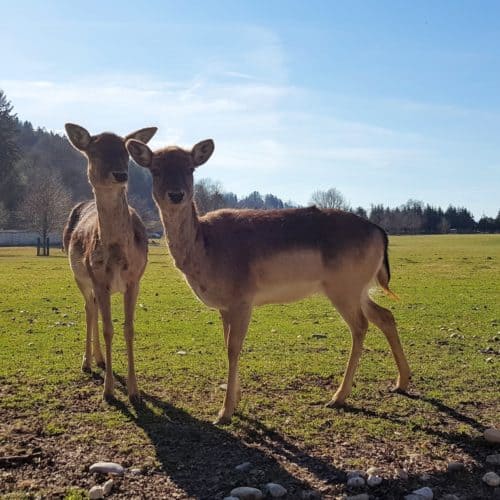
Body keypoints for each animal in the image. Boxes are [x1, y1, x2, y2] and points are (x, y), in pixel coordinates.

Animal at [63, 125, 156, 402]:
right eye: (94, 151)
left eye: (126, 152)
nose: (120, 174)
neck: (117, 255)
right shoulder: (98, 279)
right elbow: (108, 329)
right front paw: (108, 391)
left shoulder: (135, 280)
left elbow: (128, 328)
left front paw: (135, 391)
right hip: (80, 278)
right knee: (89, 309)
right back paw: (87, 362)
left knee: (92, 308)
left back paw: (99, 360)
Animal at [125, 136, 410, 422]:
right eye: (155, 169)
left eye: (190, 168)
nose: (176, 194)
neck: (205, 251)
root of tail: (380, 232)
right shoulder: (224, 306)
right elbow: (226, 344)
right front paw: (235, 400)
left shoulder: (242, 298)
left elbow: (233, 348)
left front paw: (225, 412)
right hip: (359, 289)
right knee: (385, 315)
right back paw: (401, 382)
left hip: (344, 287)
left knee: (361, 326)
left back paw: (338, 397)